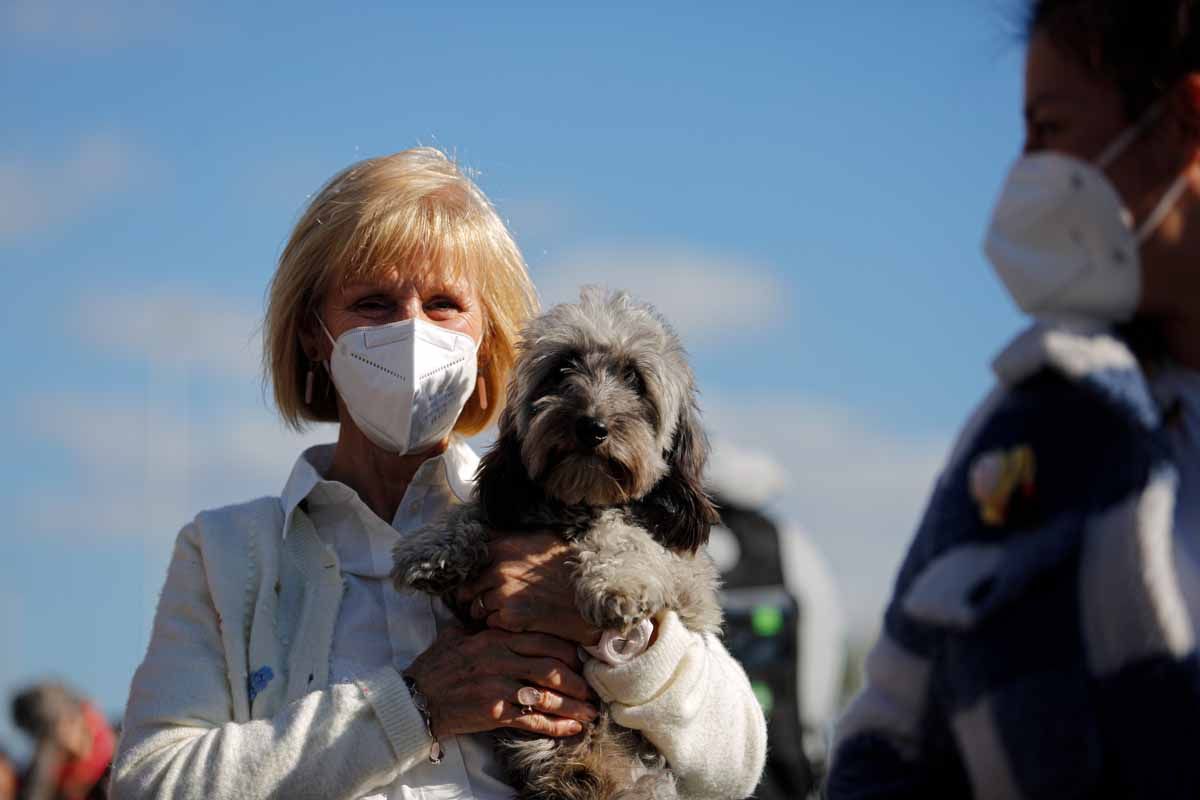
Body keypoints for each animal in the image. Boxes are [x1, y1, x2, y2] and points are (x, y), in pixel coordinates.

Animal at [393, 289, 720, 800]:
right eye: (563, 368)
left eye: (635, 379)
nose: (592, 426)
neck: (576, 505)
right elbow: (478, 512)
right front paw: (433, 548)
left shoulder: (692, 586)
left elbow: (624, 530)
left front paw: (617, 584)